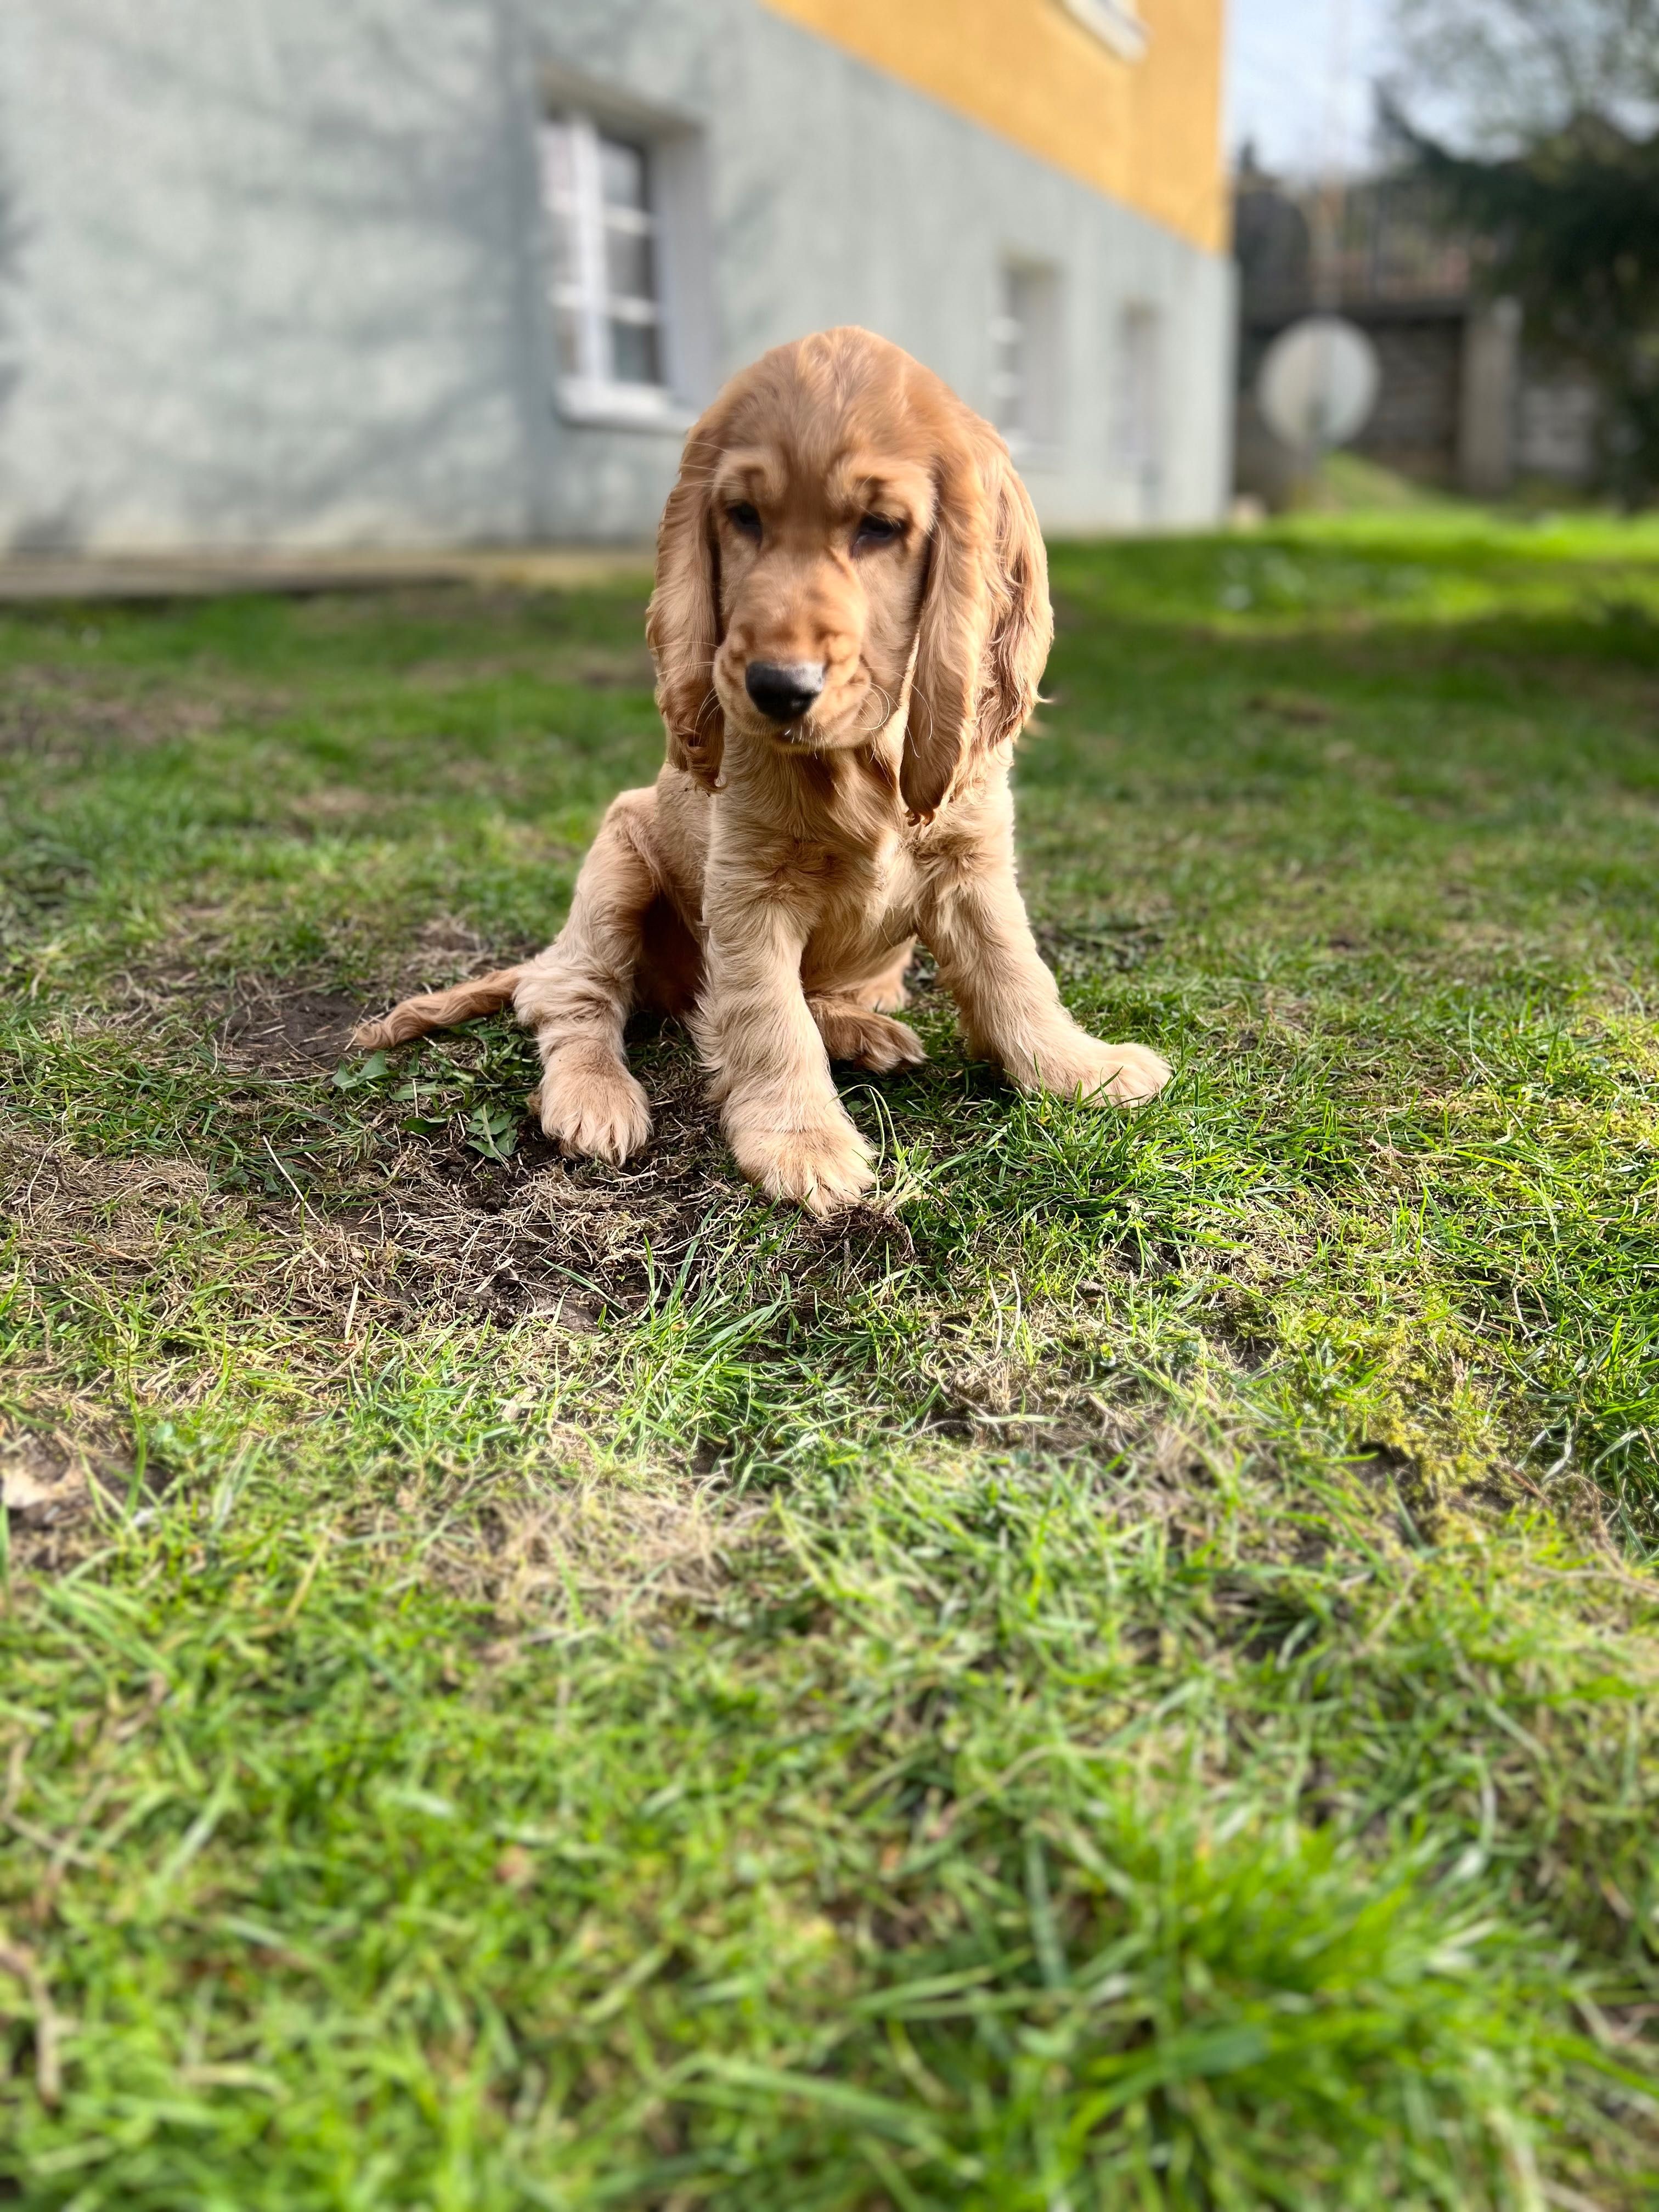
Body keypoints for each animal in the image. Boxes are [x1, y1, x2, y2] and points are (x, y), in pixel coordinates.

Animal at [358, 323, 1177, 1212]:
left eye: (880, 526)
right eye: (744, 517)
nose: (778, 688)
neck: (859, 755)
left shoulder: (973, 863)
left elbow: (1014, 971)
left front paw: (1081, 1068)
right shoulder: (749, 888)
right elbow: (768, 1017)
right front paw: (802, 1142)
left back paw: (863, 1030)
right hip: (617, 864)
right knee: (574, 997)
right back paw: (595, 1096)